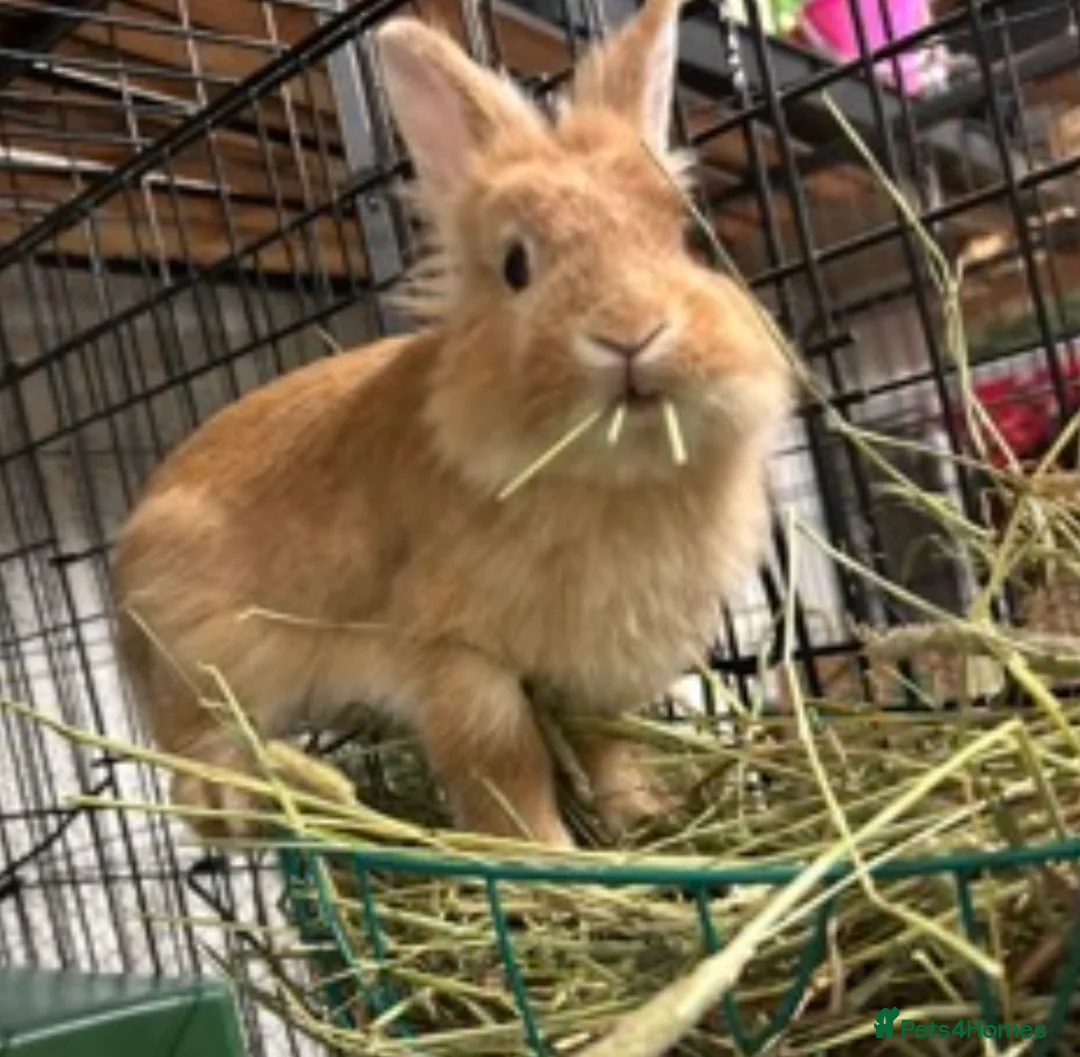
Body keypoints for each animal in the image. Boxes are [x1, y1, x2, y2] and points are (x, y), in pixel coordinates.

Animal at [109, 0, 794, 849]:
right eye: (515, 266)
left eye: (683, 236)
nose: (632, 333)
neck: (614, 474)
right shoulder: (460, 660)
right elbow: (502, 763)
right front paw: (551, 859)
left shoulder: (591, 675)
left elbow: (606, 749)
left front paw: (645, 820)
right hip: (205, 666)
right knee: (198, 783)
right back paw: (278, 797)